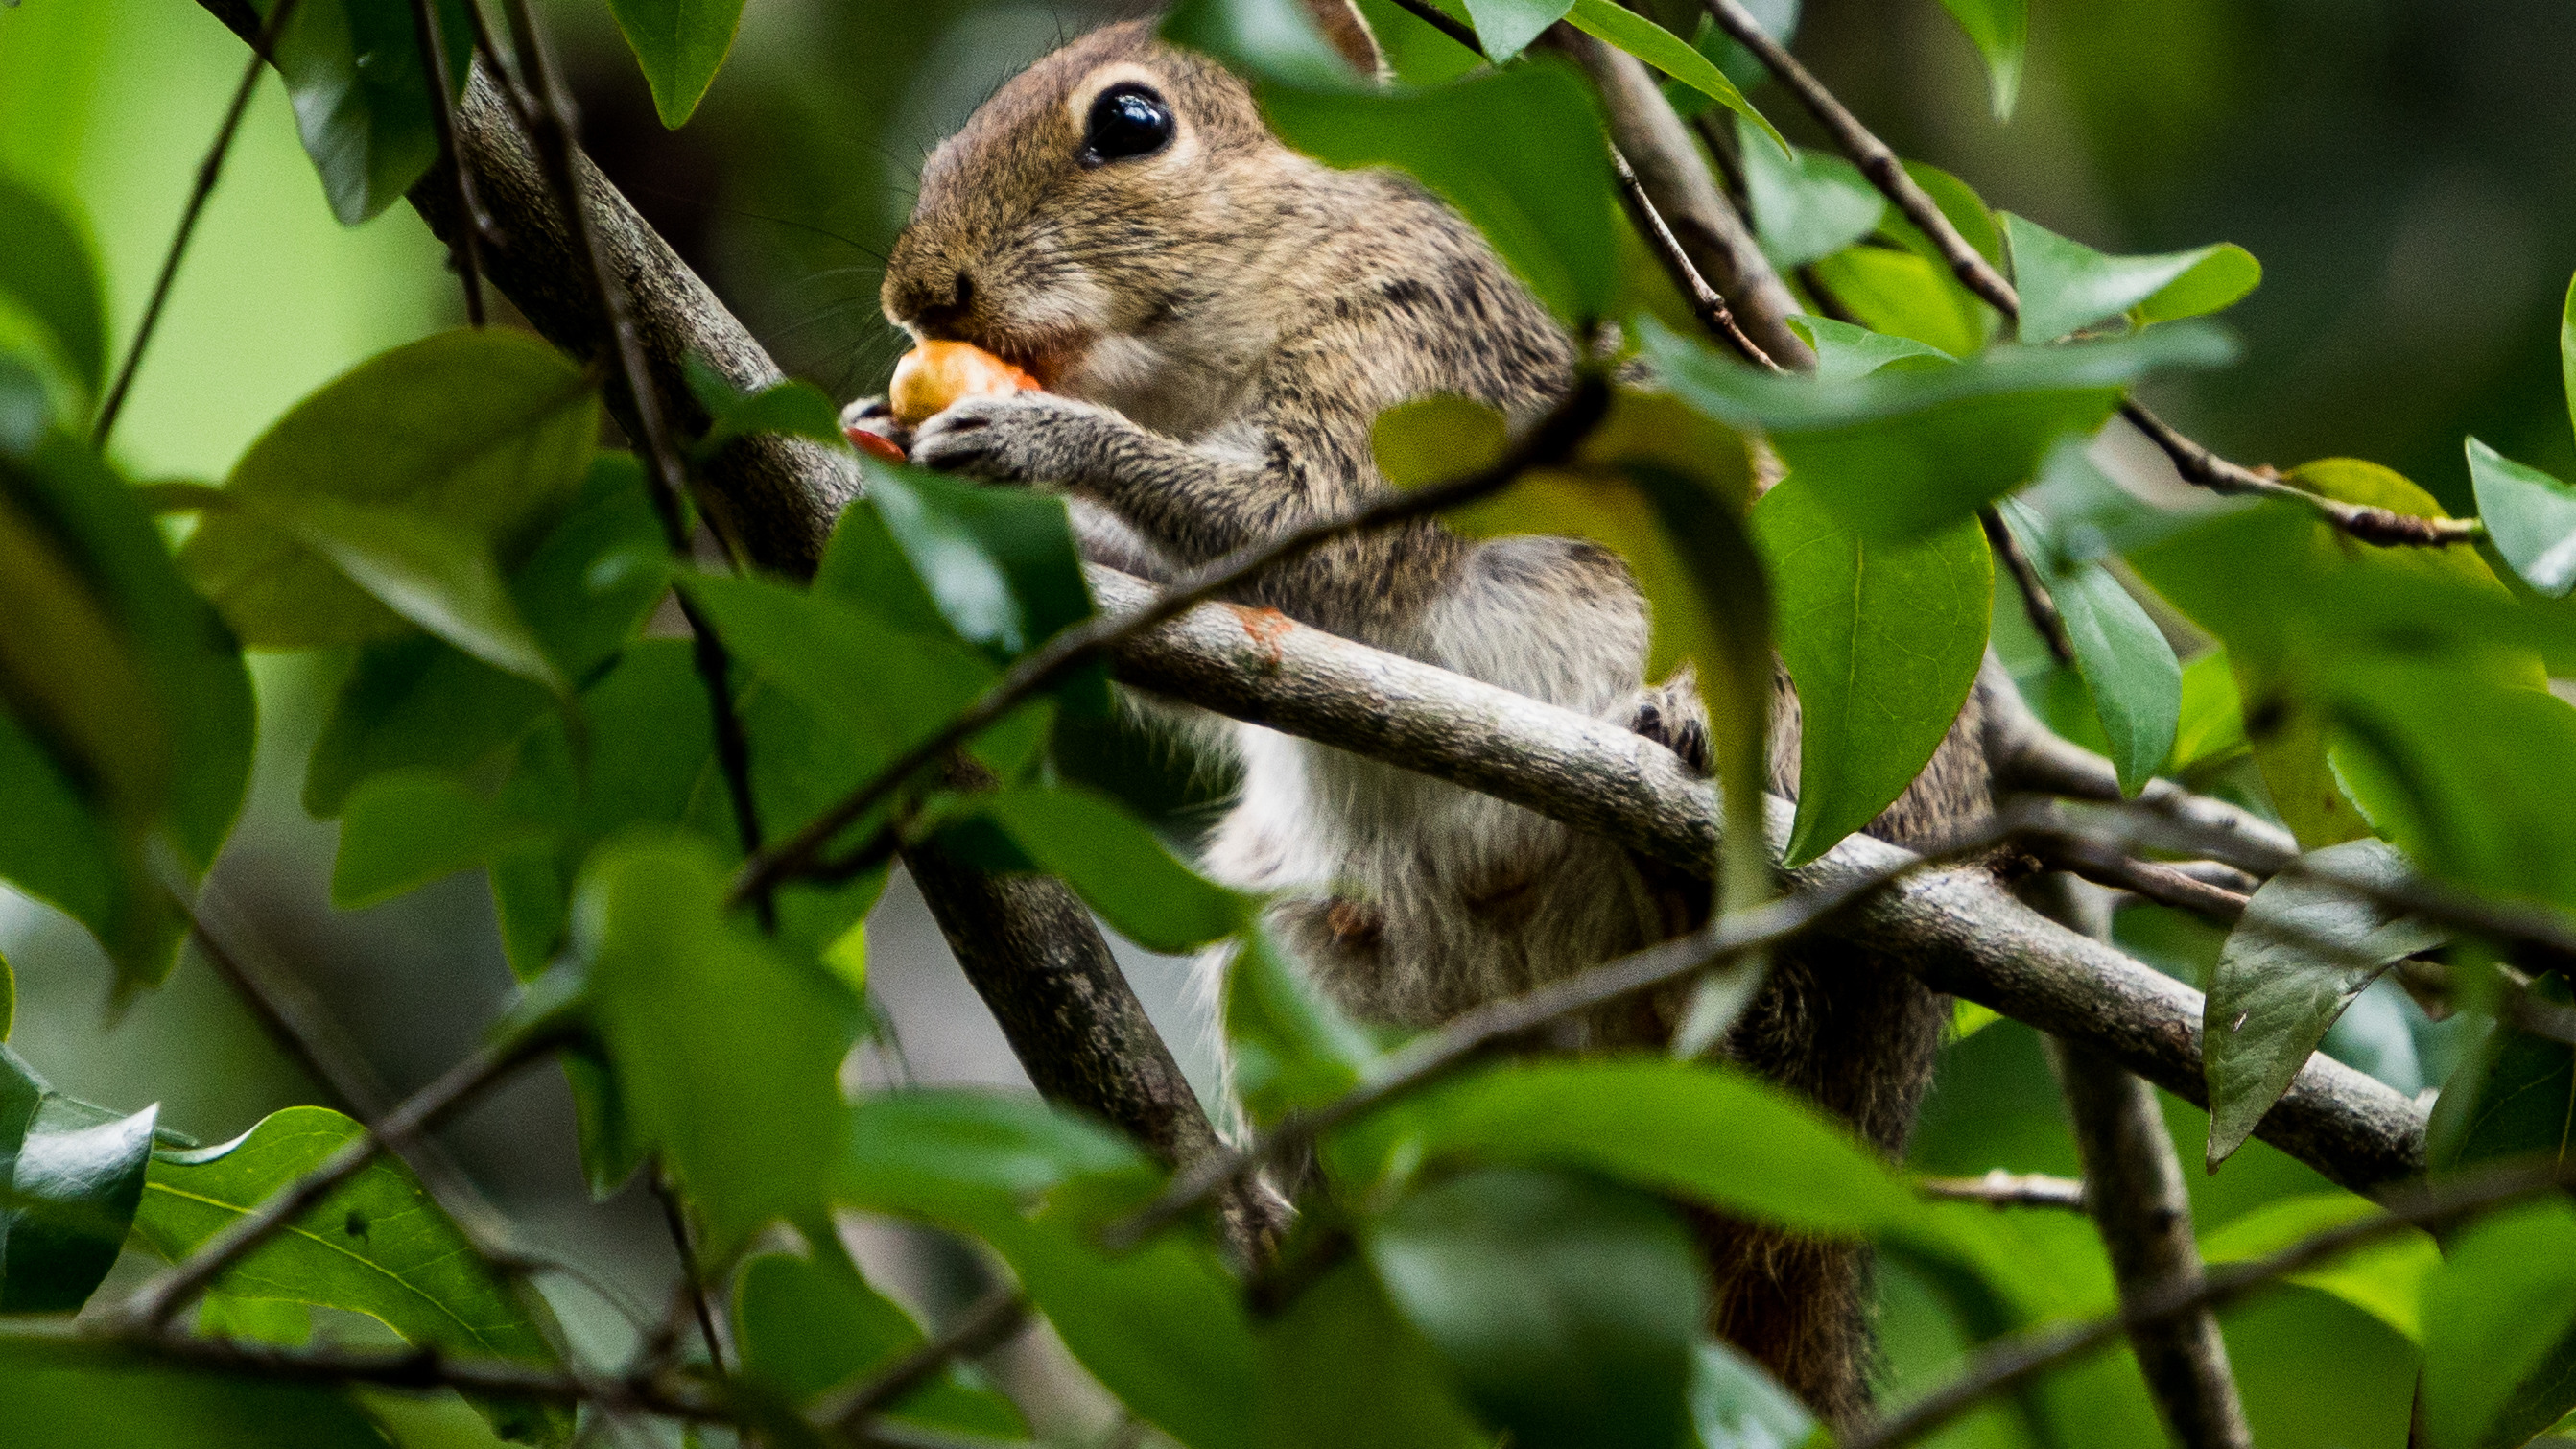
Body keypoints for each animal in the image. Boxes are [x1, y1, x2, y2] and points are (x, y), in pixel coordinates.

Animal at [849, 4, 1991, 1426]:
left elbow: (1302, 529)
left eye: (1130, 123)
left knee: (1782, 1016)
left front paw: (1034, 439)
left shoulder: (1416, 370)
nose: (918, 295)